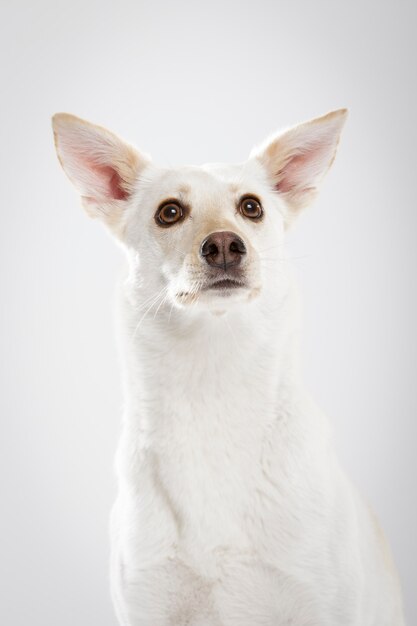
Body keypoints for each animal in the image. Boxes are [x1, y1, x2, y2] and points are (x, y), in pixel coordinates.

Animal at [51, 112, 404, 624]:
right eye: (169, 212)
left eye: (251, 207)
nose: (222, 245)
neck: (212, 378)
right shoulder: (147, 603)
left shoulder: (321, 602)